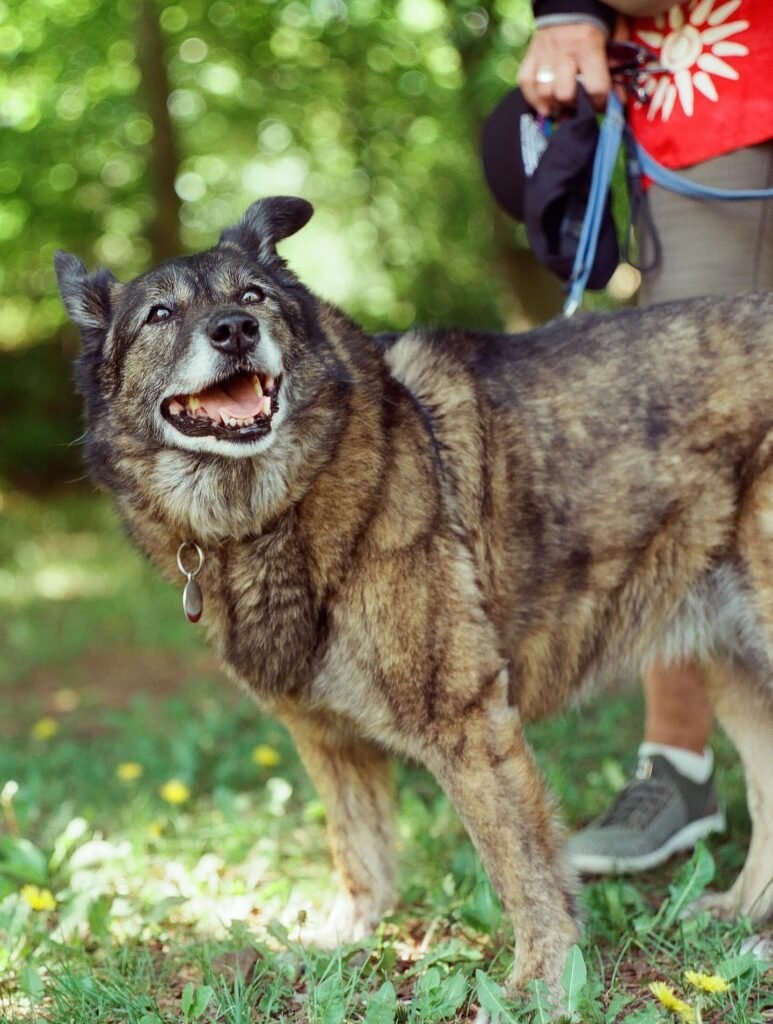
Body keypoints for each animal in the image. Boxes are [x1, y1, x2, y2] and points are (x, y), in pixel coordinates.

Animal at [55, 195, 773, 1004]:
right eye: (160, 313)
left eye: (254, 296)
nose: (235, 331)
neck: (273, 511)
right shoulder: (325, 736)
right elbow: (358, 850)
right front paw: (345, 939)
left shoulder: (466, 720)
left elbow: (521, 867)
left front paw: (540, 982)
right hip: (733, 658)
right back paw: (741, 911)